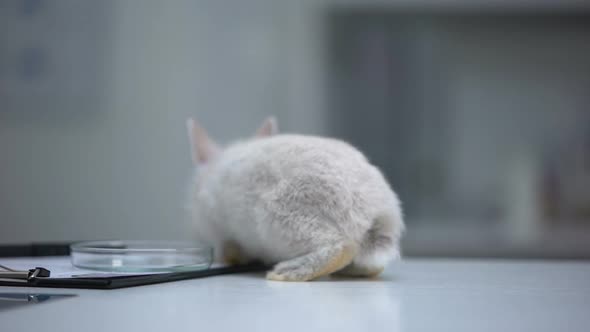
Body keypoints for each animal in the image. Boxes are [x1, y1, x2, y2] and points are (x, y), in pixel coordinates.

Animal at [187, 116, 404, 280]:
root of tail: (379, 215)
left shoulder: (223, 234)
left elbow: (230, 249)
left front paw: (229, 259)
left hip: (284, 218)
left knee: (340, 248)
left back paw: (285, 273)